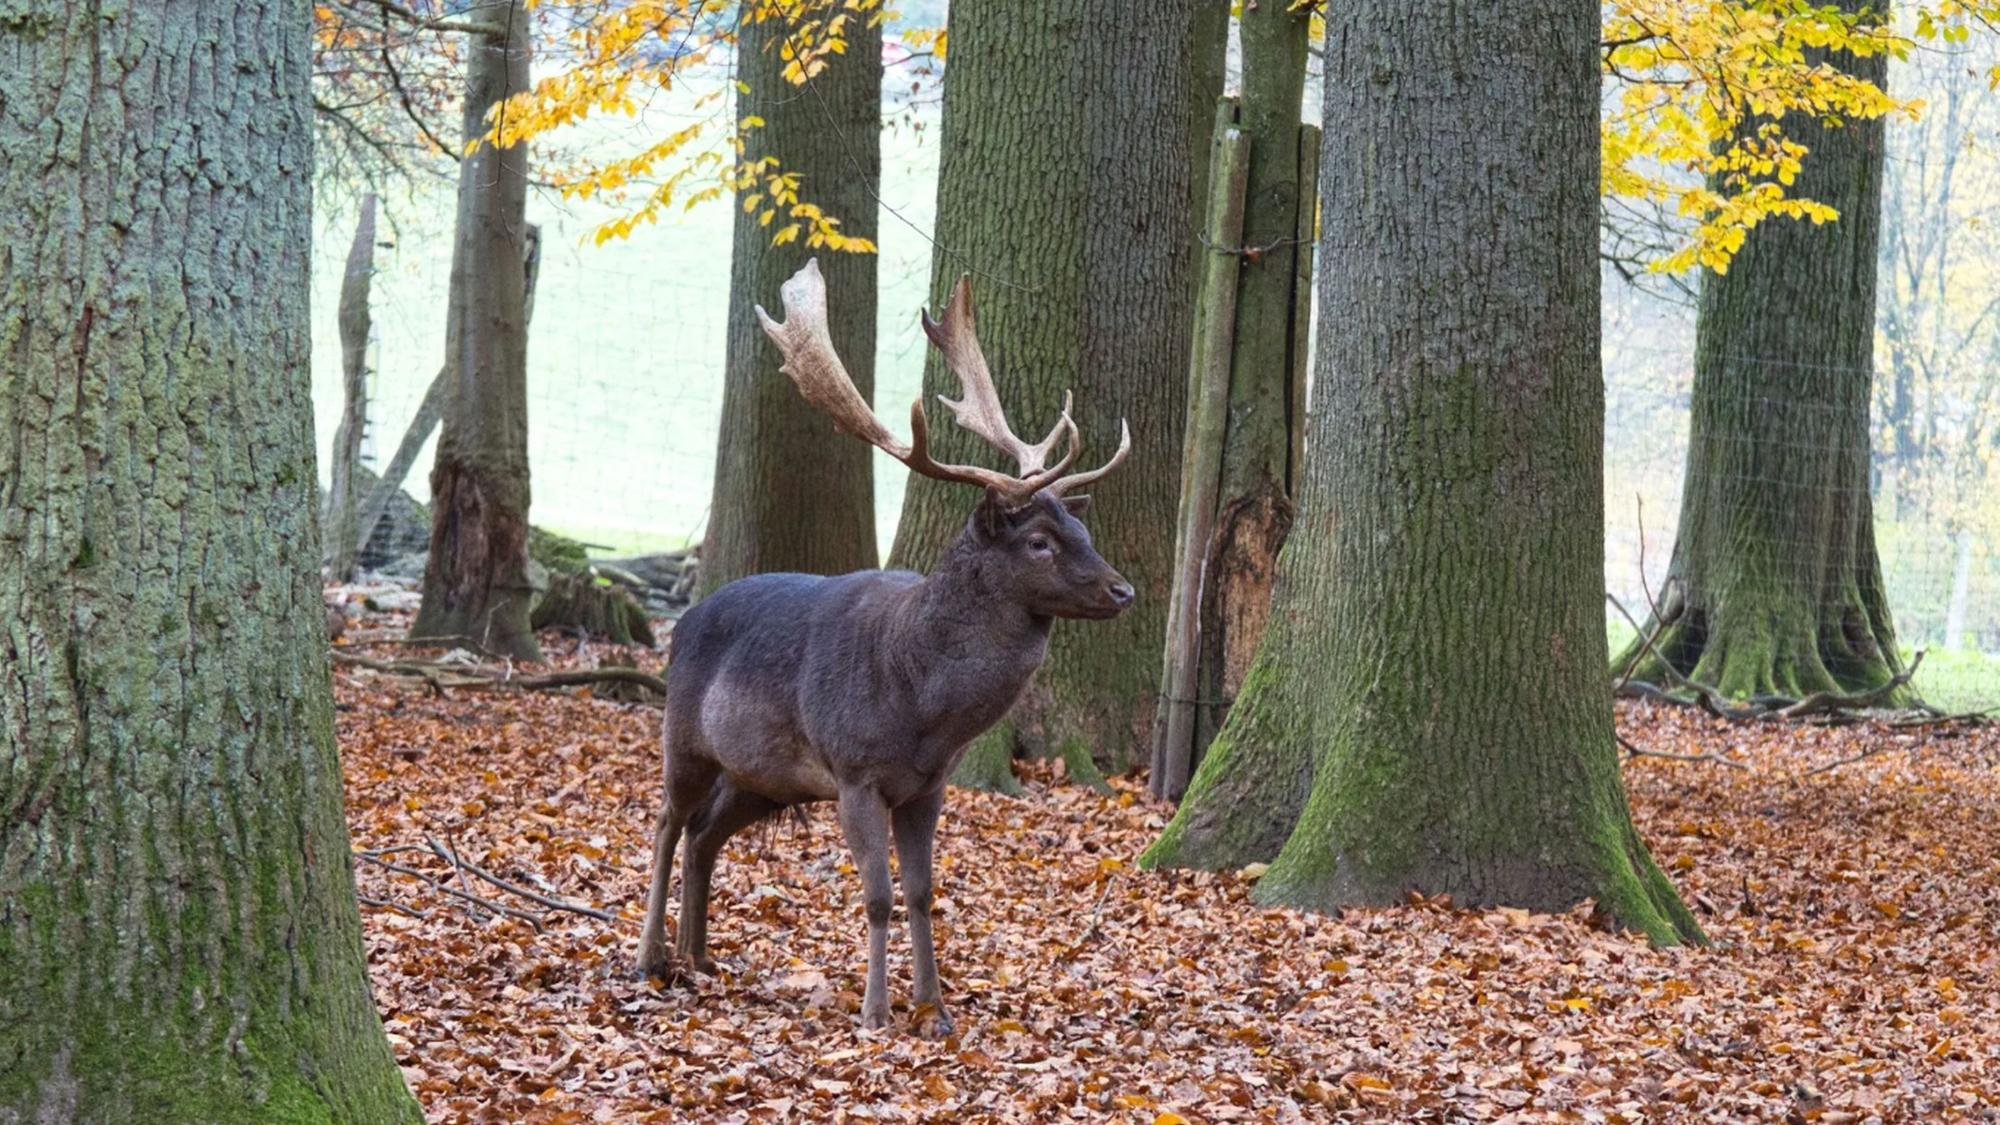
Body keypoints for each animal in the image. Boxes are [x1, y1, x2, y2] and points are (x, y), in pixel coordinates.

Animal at [633, 259, 1134, 1038]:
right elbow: (877, 894)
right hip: (684, 738)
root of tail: (683, 621)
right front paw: (875, 1013)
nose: (1123, 589)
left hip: (760, 777)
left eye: (1080, 529)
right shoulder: (855, 769)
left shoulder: (928, 785)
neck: (923, 708)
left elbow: (924, 891)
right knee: (665, 825)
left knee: (705, 836)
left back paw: (700, 955)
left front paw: (936, 1010)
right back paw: (649, 958)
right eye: (1039, 541)